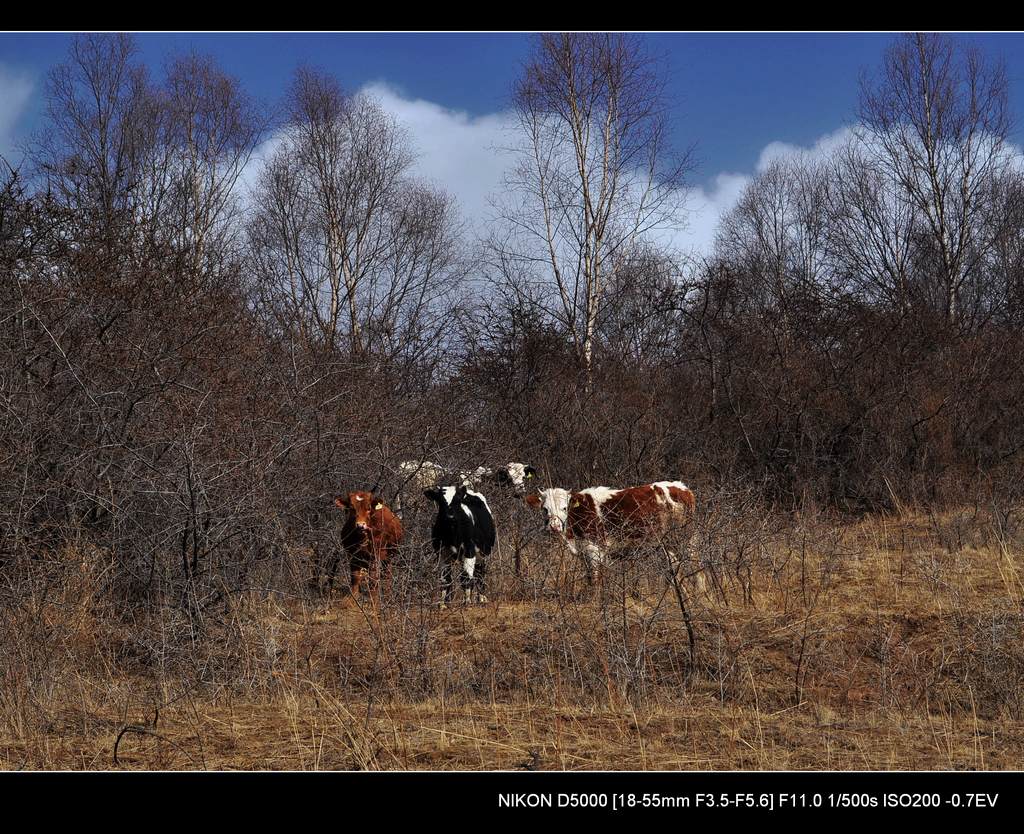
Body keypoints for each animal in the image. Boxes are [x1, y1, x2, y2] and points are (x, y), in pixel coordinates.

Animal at [528, 479, 696, 590]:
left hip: (682, 539)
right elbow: (589, 577)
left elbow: (595, 579)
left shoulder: (595, 550)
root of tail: (683, 488)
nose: (554, 526)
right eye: (545, 509)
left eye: (564, 508)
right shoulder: (584, 552)